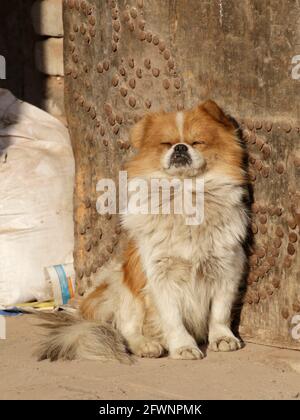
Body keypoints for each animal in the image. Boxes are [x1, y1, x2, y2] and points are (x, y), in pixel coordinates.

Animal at [37, 100, 248, 362]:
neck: (185, 197)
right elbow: (173, 320)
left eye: (197, 142)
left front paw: (222, 338)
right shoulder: (160, 278)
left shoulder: (226, 271)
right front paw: (183, 347)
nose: (180, 147)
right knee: (127, 329)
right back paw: (146, 345)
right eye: (166, 144)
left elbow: (220, 313)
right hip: (123, 285)